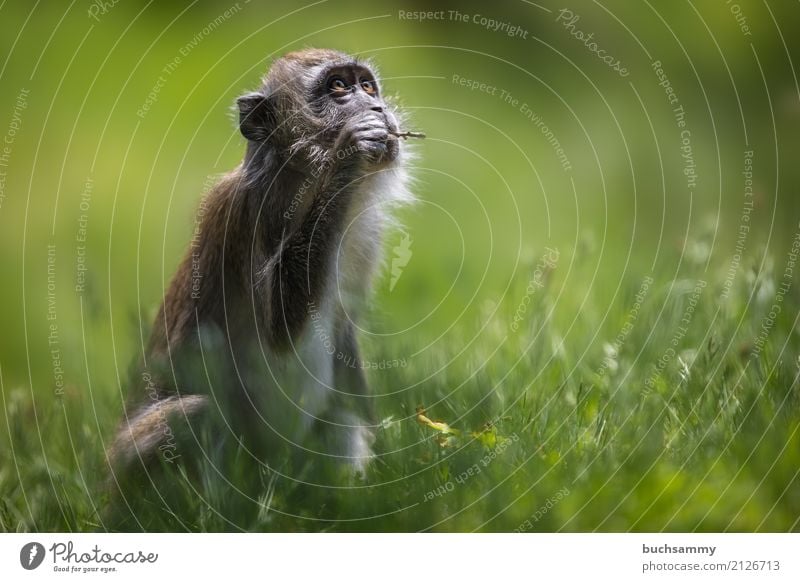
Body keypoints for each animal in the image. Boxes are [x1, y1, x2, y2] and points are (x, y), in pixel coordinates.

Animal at [107, 49, 416, 502]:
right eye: (338, 87)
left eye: (367, 86)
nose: (376, 108)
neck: (303, 176)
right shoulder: (255, 212)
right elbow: (281, 331)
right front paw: (350, 152)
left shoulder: (365, 233)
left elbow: (342, 332)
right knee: (194, 414)